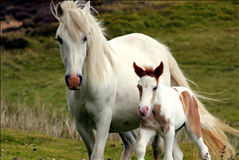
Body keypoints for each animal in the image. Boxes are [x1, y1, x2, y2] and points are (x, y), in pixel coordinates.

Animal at [51, 0, 239, 159]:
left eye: (85, 38)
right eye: (59, 39)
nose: (73, 80)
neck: (90, 86)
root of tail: (159, 45)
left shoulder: (103, 120)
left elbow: (97, 155)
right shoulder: (81, 124)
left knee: (157, 149)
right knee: (133, 143)